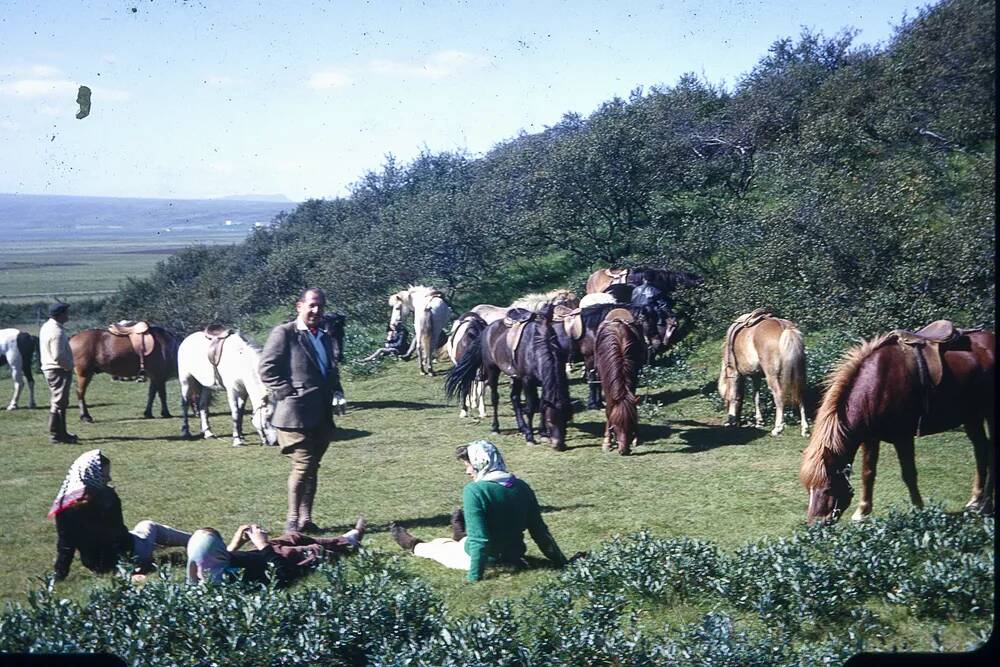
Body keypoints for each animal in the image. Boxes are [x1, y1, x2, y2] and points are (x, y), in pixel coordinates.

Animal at [446, 306, 572, 452]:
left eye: (567, 418)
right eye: (550, 420)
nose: (559, 445)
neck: (536, 347)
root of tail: (487, 329)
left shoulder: (541, 382)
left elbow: (541, 405)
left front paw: (542, 433)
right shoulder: (527, 381)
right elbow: (531, 407)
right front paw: (530, 437)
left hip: (515, 376)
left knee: (514, 398)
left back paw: (522, 427)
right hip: (493, 370)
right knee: (495, 398)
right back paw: (496, 428)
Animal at [592, 310, 648, 456]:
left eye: (631, 424)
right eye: (616, 426)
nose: (624, 450)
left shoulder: (633, 377)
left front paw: (635, 438)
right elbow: (608, 410)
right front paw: (607, 441)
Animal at [800, 324, 996, 528]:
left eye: (827, 488)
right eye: (809, 488)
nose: (815, 524)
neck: (877, 384)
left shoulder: (903, 437)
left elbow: (909, 474)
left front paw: (919, 509)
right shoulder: (870, 438)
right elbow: (868, 473)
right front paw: (862, 512)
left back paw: (986, 505)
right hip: (972, 418)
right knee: (981, 450)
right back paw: (976, 500)